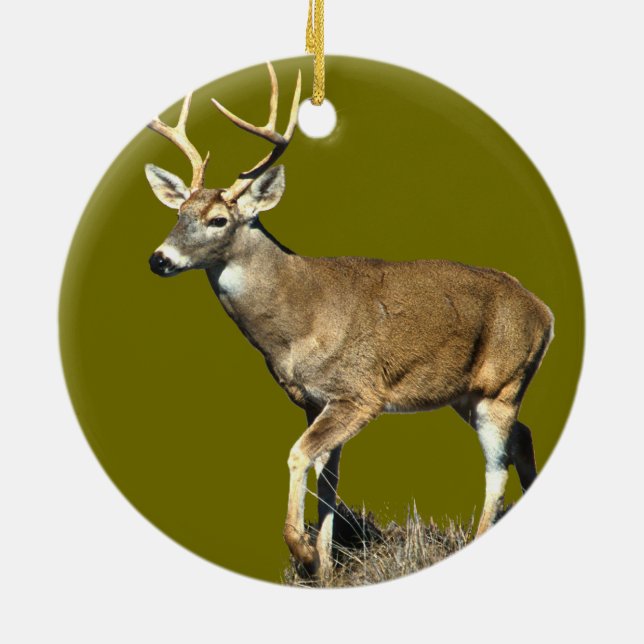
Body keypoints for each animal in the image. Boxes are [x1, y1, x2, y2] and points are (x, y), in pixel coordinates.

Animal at [145, 62, 554, 579]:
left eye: (218, 219)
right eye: (179, 212)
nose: (158, 259)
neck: (297, 321)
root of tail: (544, 310)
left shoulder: (359, 393)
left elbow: (299, 454)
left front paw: (301, 552)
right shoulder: (311, 399)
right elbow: (328, 478)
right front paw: (323, 567)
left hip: (504, 384)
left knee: (496, 465)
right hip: (467, 393)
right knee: (524, 436)